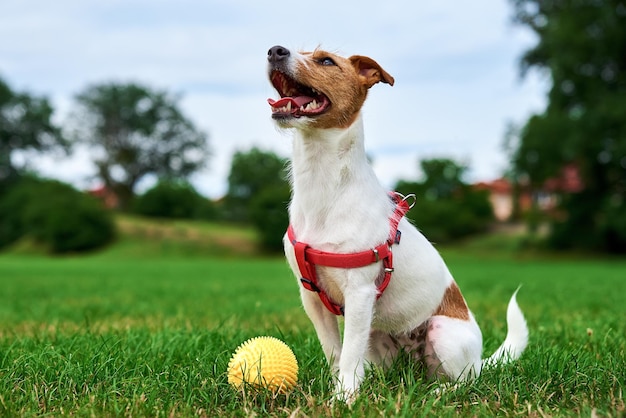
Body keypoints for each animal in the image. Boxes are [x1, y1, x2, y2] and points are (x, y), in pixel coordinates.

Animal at [264, 45, 528, 402]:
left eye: (326, 60)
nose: (275, 50)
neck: (323, 185)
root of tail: (480, 359)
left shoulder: (360, 294)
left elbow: (348, 354)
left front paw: (343, 399)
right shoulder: (312, 297)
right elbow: (335, 353)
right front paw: (337, 390)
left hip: (443, 333)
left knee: (463, 382)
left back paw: (438, 393)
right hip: (377, 335)